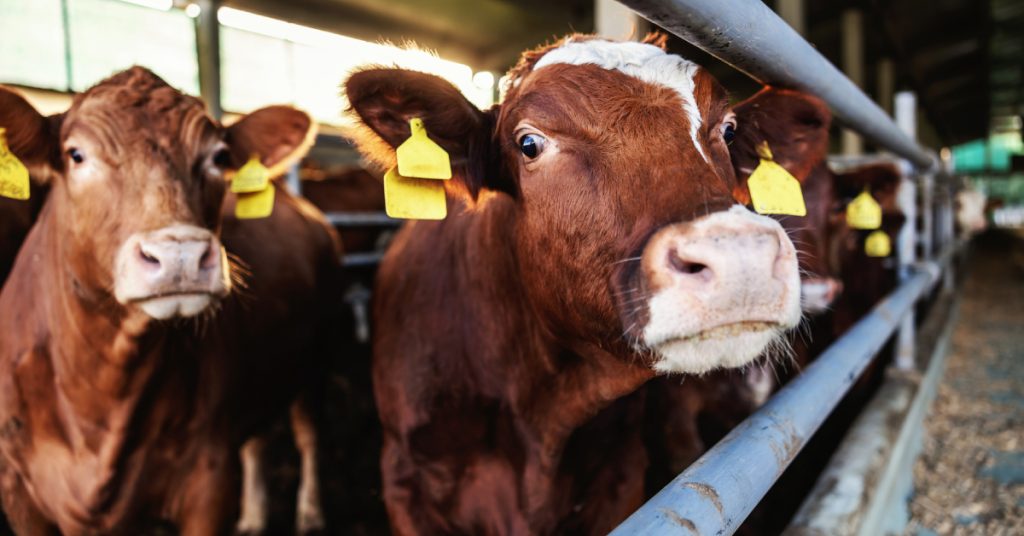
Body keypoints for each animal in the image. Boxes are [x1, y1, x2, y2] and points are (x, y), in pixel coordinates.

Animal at [0, 68, 342, 536]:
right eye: (76, 155)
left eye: (219, 157)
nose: (180, 255)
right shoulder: (18, 490)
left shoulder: (208, 479)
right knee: (257, 440)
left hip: (318, 354)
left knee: (308, 432)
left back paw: (310, 514)